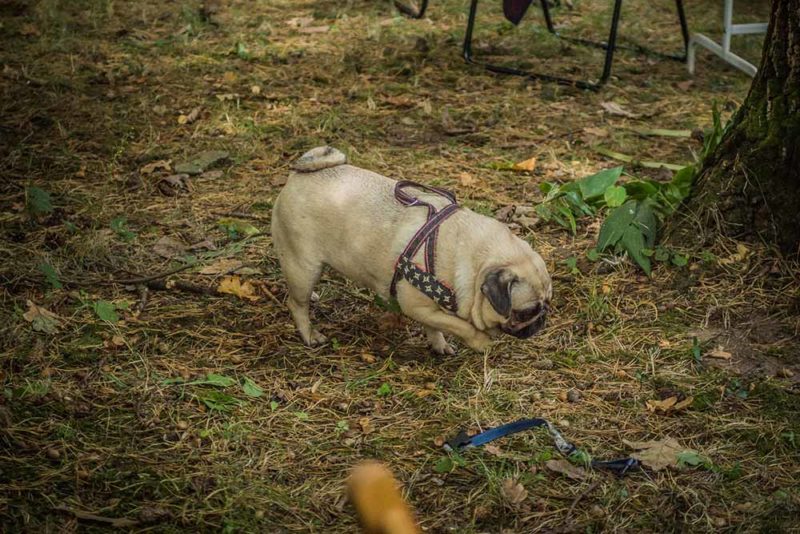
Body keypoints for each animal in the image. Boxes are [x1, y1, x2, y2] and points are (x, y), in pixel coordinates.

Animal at [272, 148, 552, 356]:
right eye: (525, 312)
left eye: (547, 302)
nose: (542, 319)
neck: (476, 266)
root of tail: (299, 176)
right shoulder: (415, 305)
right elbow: (458, 325)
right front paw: (479, 341)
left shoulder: (429, 308)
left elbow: (436, 326)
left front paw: (439, 344)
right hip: (303, 266)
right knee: (296, 303)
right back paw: (310, 334)